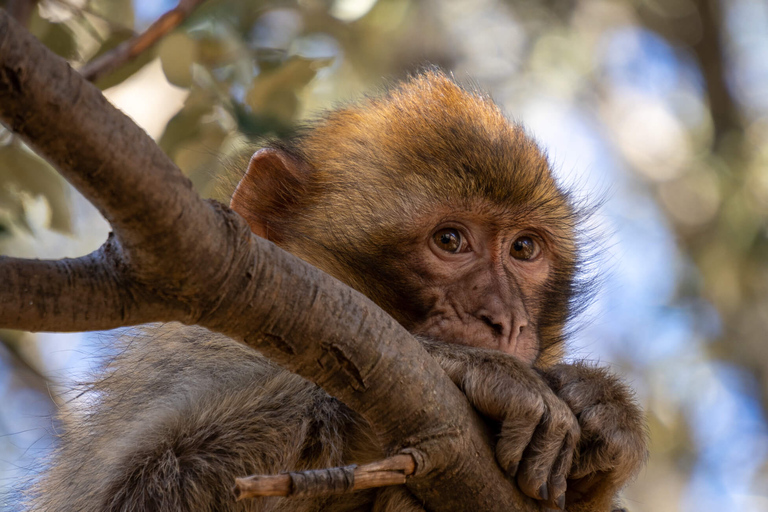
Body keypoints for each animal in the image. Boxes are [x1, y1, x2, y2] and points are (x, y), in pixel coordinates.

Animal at [28, 71, 640, 512]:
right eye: (450, 240)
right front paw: (467, 370)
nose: (504, 321)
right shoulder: (195, 353)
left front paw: (602, 410)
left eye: (524, 249)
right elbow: (133, 489)